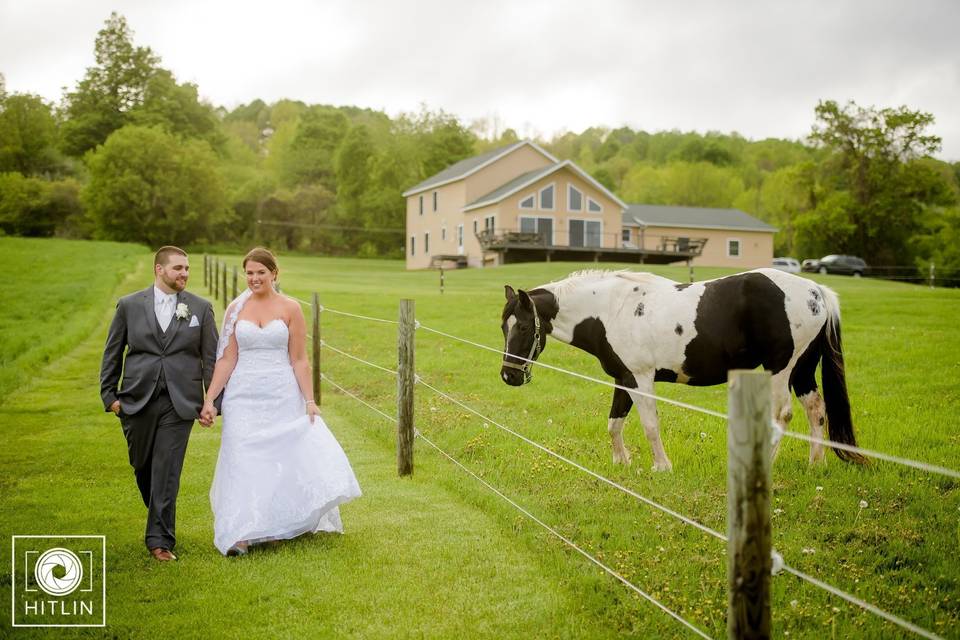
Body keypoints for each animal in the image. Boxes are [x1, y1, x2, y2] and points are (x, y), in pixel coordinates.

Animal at [498, 268, 868, 470]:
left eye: (523, 327)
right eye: (504, 327)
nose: (509, 376)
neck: (610, 309)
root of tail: (816, 292)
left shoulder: (641, 378)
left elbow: (649, 425)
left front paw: (662, 466)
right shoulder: (624, 378)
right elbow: (614, 424)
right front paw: (622, 462)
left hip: (780, 369)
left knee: (783, 415)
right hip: (802, 370)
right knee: (816, 410)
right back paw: (815, 462)